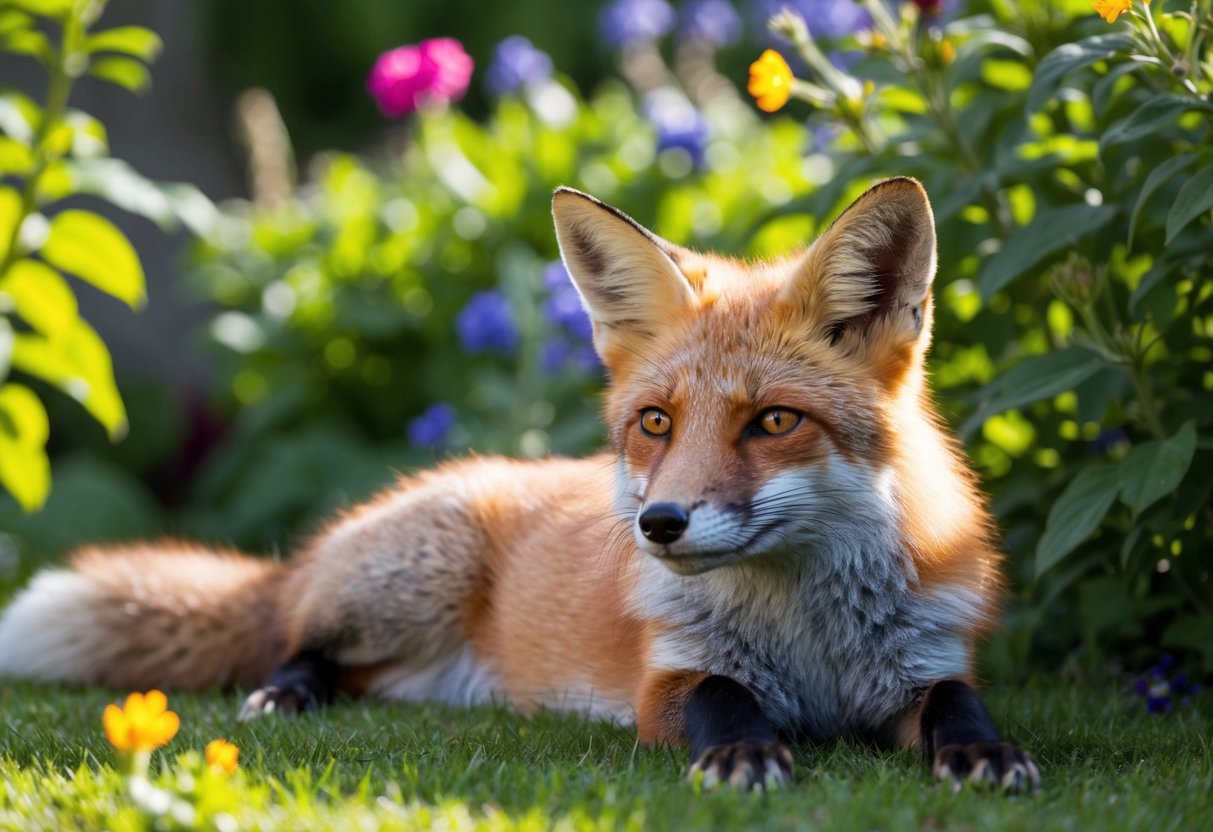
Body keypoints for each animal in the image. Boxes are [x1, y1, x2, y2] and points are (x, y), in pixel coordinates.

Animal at [0, 177, 1038, 791]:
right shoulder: (667, 679)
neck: (809, 640)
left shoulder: (926, 661)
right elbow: (722, 697)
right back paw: (284, 695)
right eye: (655, 423)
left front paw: (986, 751)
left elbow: (956, 706)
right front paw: (744, 751)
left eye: (773, 423)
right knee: (291, 642)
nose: (660, 523)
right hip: (402, 587)